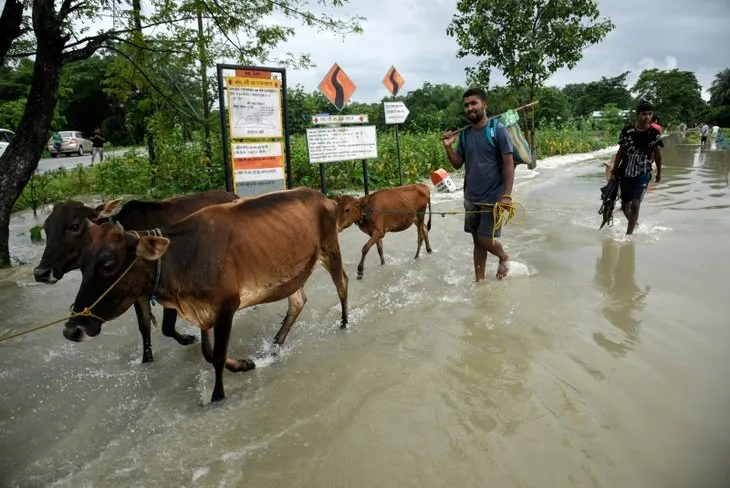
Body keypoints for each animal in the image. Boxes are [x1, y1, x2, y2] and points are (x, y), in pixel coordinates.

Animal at [33, 190, 236, 362]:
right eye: (46, 228)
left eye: (74, 226)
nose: (41, 272)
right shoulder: (138, 295)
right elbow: (144, 326)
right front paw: (147, 359)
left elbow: (167, 327)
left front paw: (188, 339)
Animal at [61, 187, 346, 404]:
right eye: (83, 265)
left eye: (108, 265)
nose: (71, 329)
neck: (183, 257)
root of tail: (323, 197)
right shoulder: (203, 309)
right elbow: (208, 352)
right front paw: (244, 364)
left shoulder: (226, 307)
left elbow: (217, 356)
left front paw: (217, 397)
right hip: (292, 272)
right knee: (297, 301)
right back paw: (275, 346)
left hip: (330, 249)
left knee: (342, 283)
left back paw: (343, 322)